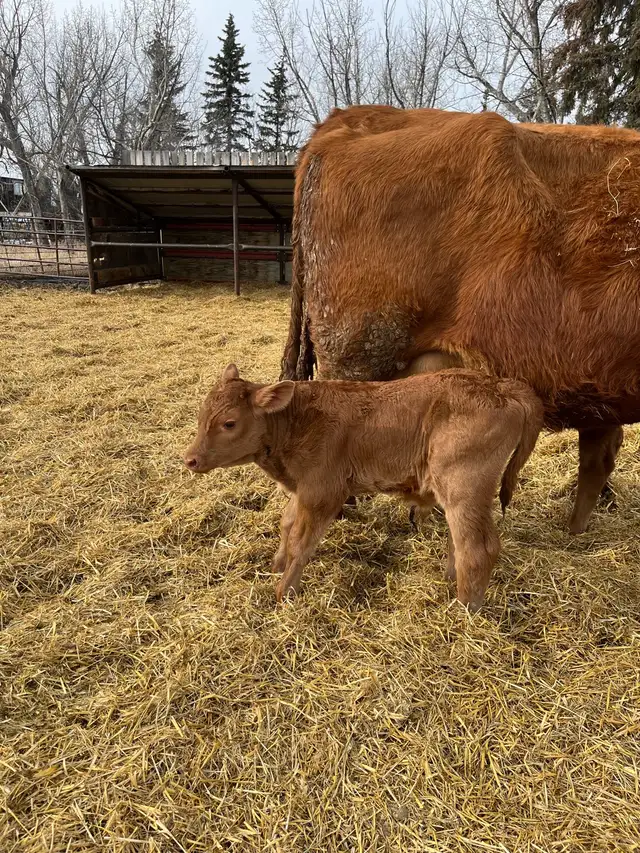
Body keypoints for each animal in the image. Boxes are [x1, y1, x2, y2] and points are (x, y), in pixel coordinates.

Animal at [183, 363, 543, 611]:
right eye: (200, 415)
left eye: (229, 423)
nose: (190, 459)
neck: (296, 421)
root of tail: (502, 385)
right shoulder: (304, 488)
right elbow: (286, 523)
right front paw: (276, 567)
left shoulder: (322, 491)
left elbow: (302, 542)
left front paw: (284, 592)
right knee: (460, 541)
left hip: (464, 487)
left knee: (478, 548)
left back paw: (464, 609)